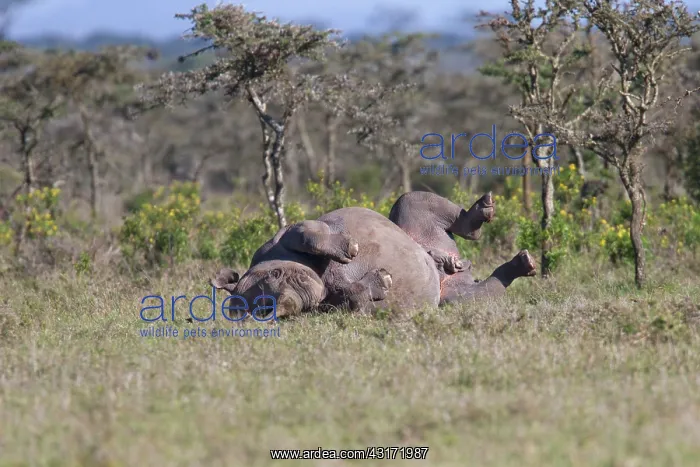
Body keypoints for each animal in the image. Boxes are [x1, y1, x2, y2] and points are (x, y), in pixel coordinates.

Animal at [210, 192, 536, 318]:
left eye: (278, 274)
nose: (292, 301)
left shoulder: (277, 239)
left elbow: (305, 232)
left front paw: (350, 249)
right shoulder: (328, 306)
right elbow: (353, 300)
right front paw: (381, 282)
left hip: (415, 231)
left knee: (411, 201)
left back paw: (482, 213)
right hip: (451, 293)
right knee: (467, 297)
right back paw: (523, 264)